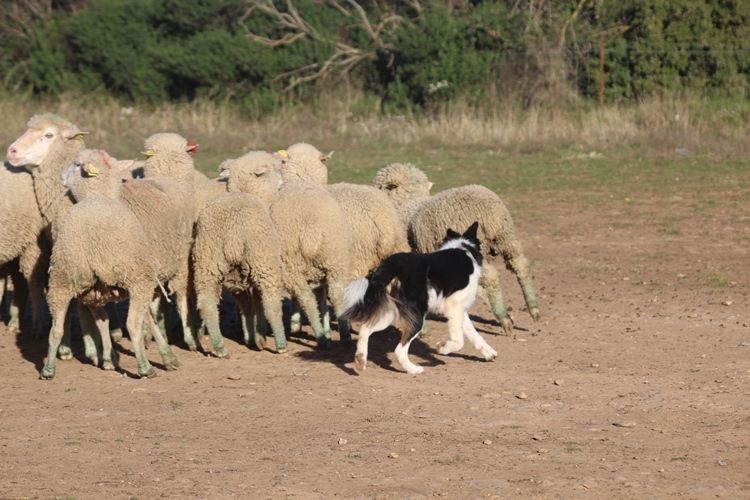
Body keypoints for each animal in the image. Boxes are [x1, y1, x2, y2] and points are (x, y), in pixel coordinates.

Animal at [342, 221, 500, 374]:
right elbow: (459, 340)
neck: (464, 249)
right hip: (417, 316)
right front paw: (443, 348)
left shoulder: (460, 310)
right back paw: (414, 370)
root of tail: (396, 263)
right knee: (399, 350)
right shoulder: (453, 305)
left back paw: (360, 360)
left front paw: (489, 353)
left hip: (389, 313)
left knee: (365, 329)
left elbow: (473, 334)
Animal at [374, 162, 540, 332]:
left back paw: (503, 317)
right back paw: (533, 309)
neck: (408, 203)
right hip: (507, 237)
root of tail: (492, 215)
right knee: (520, 265)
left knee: (492, 277)